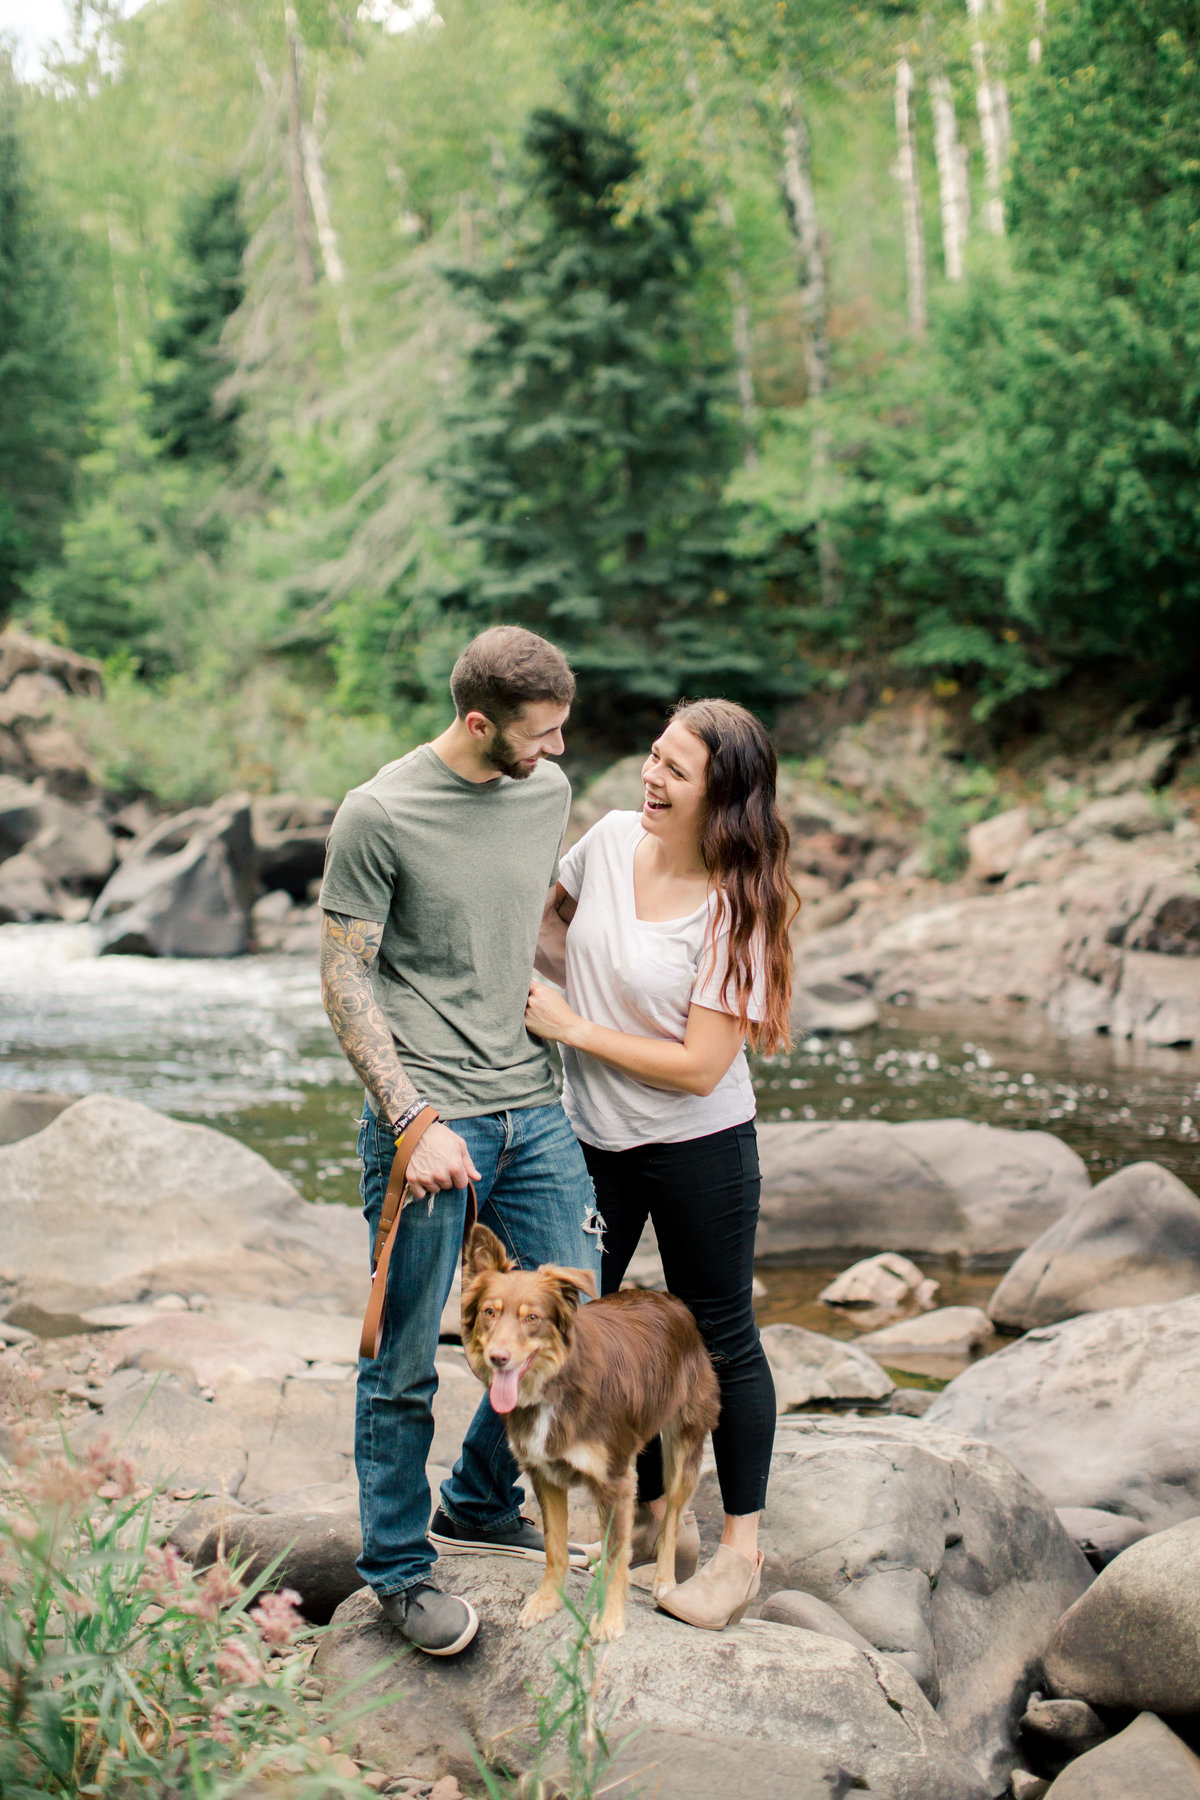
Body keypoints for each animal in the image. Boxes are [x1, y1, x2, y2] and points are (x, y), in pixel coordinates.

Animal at [464, 1224, 719, 1634]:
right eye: (490, 1312)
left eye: (532, 1318)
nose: (497, 1358)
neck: (554, 1384)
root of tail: (669, 1298)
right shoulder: (545, 1475)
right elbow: (555, 1548)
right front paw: (548, 1601)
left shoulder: (614, 1479)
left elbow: (617, 1554)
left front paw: (609, 1619)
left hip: (685, 1443)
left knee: (672, 1518)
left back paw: (665, 1581)